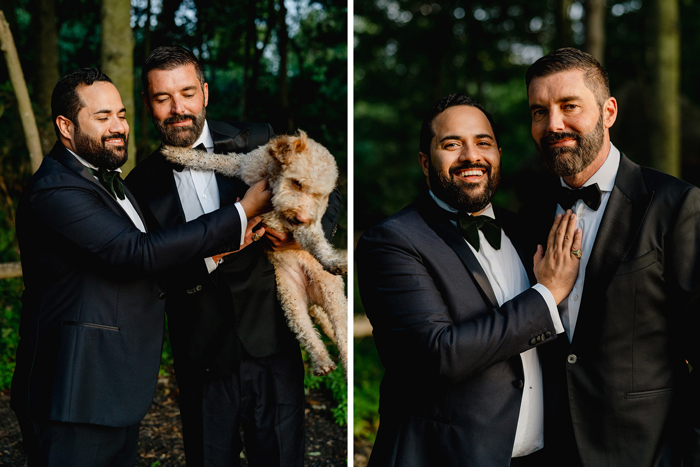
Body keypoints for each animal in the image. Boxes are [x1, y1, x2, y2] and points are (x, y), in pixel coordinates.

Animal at [165, 133, 350, 376]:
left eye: (319, 195)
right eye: (297, 182)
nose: (302, 217)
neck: (271, 178)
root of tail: (312, 300)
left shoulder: (301, 229)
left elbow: (317, 242)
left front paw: (332, 260)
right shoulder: (243, 165)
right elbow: (213, 159)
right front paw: (176, 153)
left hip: (332, 298)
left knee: (343, 339)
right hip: (292, 302)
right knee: (308, 334)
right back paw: (322, 363)